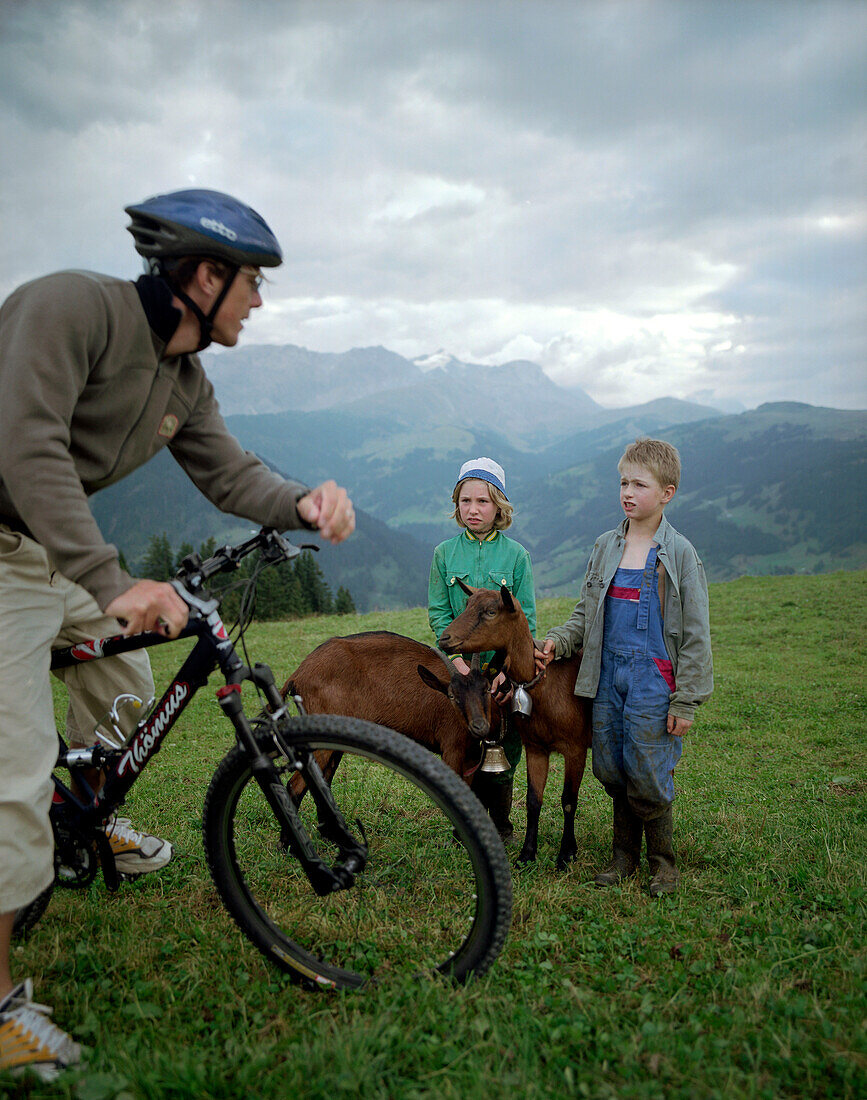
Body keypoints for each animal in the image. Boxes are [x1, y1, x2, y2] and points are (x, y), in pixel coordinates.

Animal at [283, 633, 495, 778]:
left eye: (486, 689)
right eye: (451, 695)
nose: (479, 726)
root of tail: (297, 674)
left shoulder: (471, 756)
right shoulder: (452, 749)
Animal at [440, 585, 589, 866]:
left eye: (490, 611)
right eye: (466, 604)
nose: (444, 638)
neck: (546, 686)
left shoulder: (576, 748)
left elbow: (568, 801)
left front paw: (566, 853)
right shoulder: (536, 747)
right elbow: (533, 800)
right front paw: (527, 854)